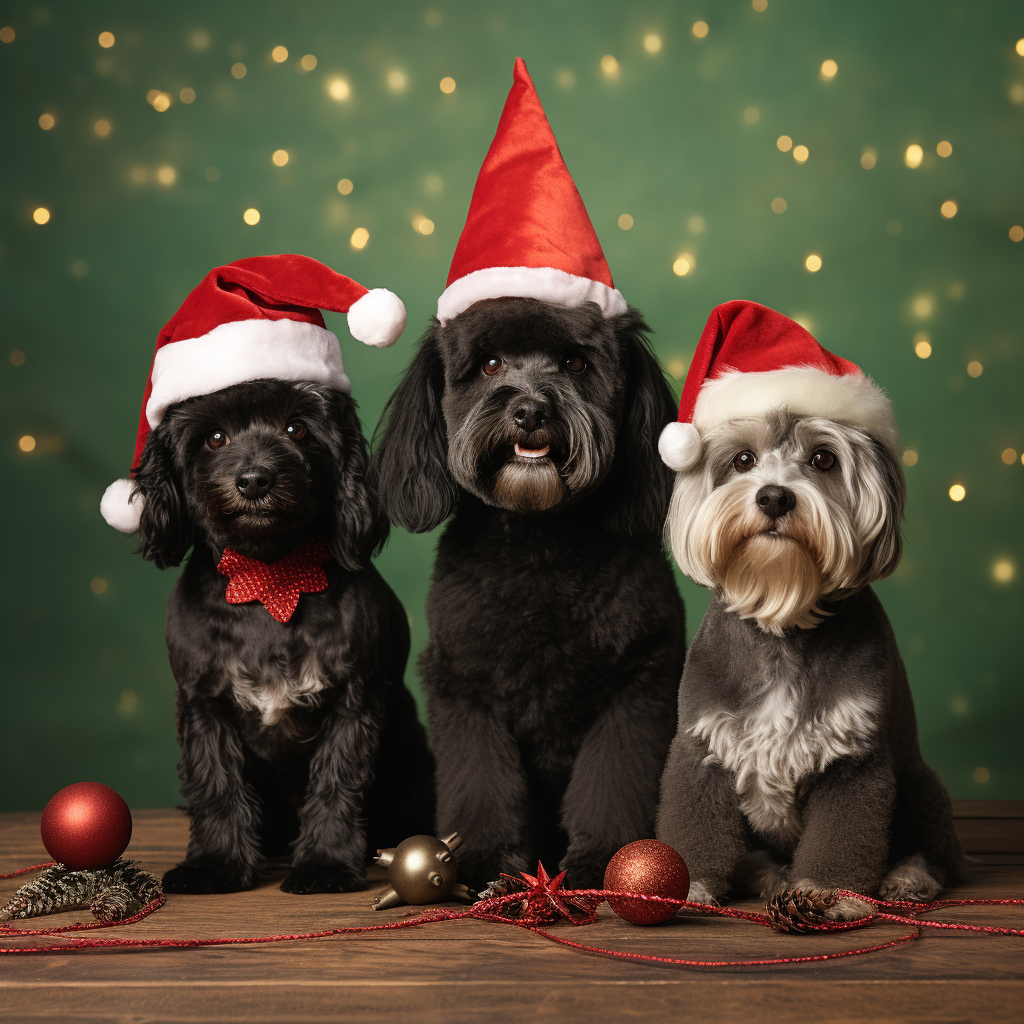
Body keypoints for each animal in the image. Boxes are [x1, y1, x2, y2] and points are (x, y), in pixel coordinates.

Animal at [131, 380, 432, 892]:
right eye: (215, 438)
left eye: (297, 428)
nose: (255, 480)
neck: (269, 577)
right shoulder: (202, 703)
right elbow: (215, 785)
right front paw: (214, 865)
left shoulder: (353, 702)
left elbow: (336, 784)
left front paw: (326, 865)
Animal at [370, 296, 688, 888]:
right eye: (490, 364)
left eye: (576, 365)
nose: (531, 411)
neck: (540, 542)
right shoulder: (465, 690)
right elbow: (481, 783)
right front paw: (481, 860)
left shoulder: (637, 686)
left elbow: (612, 781)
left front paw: (604, 860)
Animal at [651, 299, 962, 917]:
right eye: (742, 459)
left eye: (822, 458)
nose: (774, 496)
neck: (782, 622)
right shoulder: (701, 749)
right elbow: (693, 825)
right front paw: (687, 885)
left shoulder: (856, 761)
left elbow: (843, 836)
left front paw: (825, 893)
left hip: (919, 783)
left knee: (935, 851)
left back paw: (906, 877)